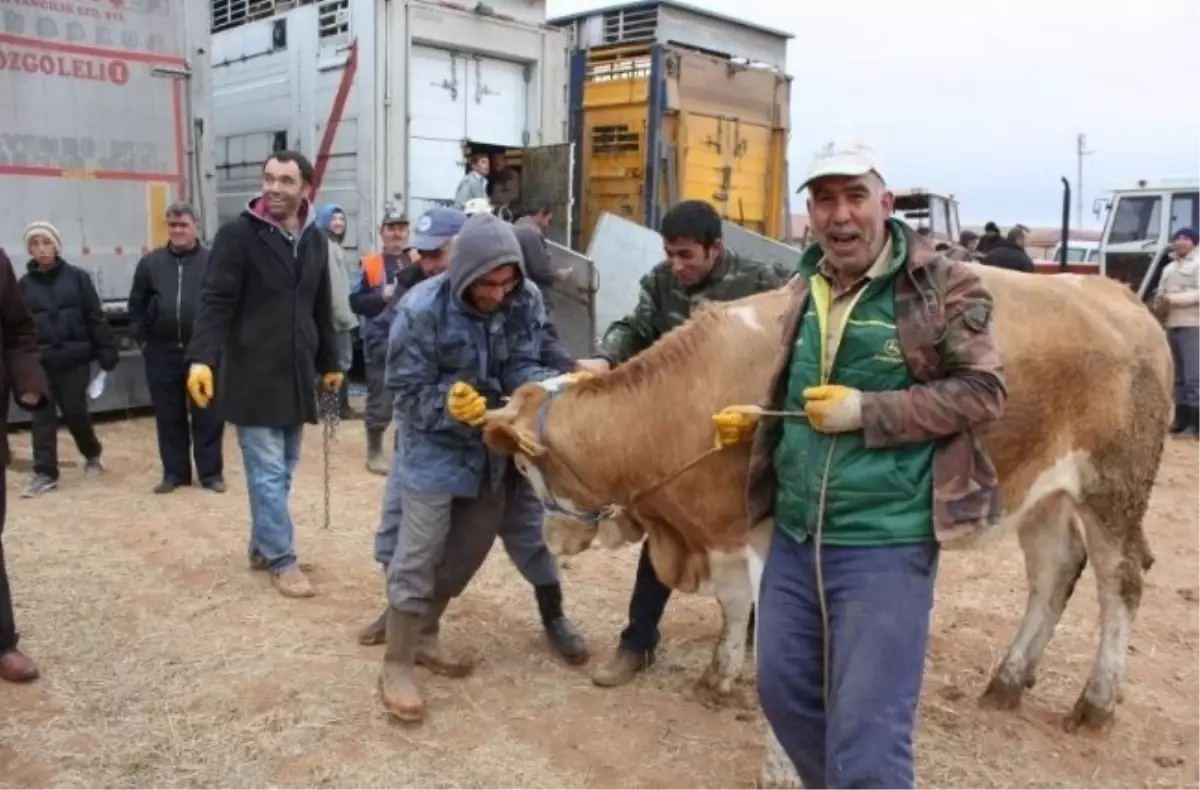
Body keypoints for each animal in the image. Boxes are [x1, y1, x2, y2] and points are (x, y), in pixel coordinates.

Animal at [480, 262, 1171, 782]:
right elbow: (734, 607)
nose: (554, 539)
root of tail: (1117, 296)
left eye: (525, 465)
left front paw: (780, 763)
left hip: (1114, 487)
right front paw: (718, 676)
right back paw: (1008, 680)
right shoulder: (727, 530)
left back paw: (1096, 701)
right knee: (1054, 573)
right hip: (1043, 493)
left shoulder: (769, 540)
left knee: (1121, 582)